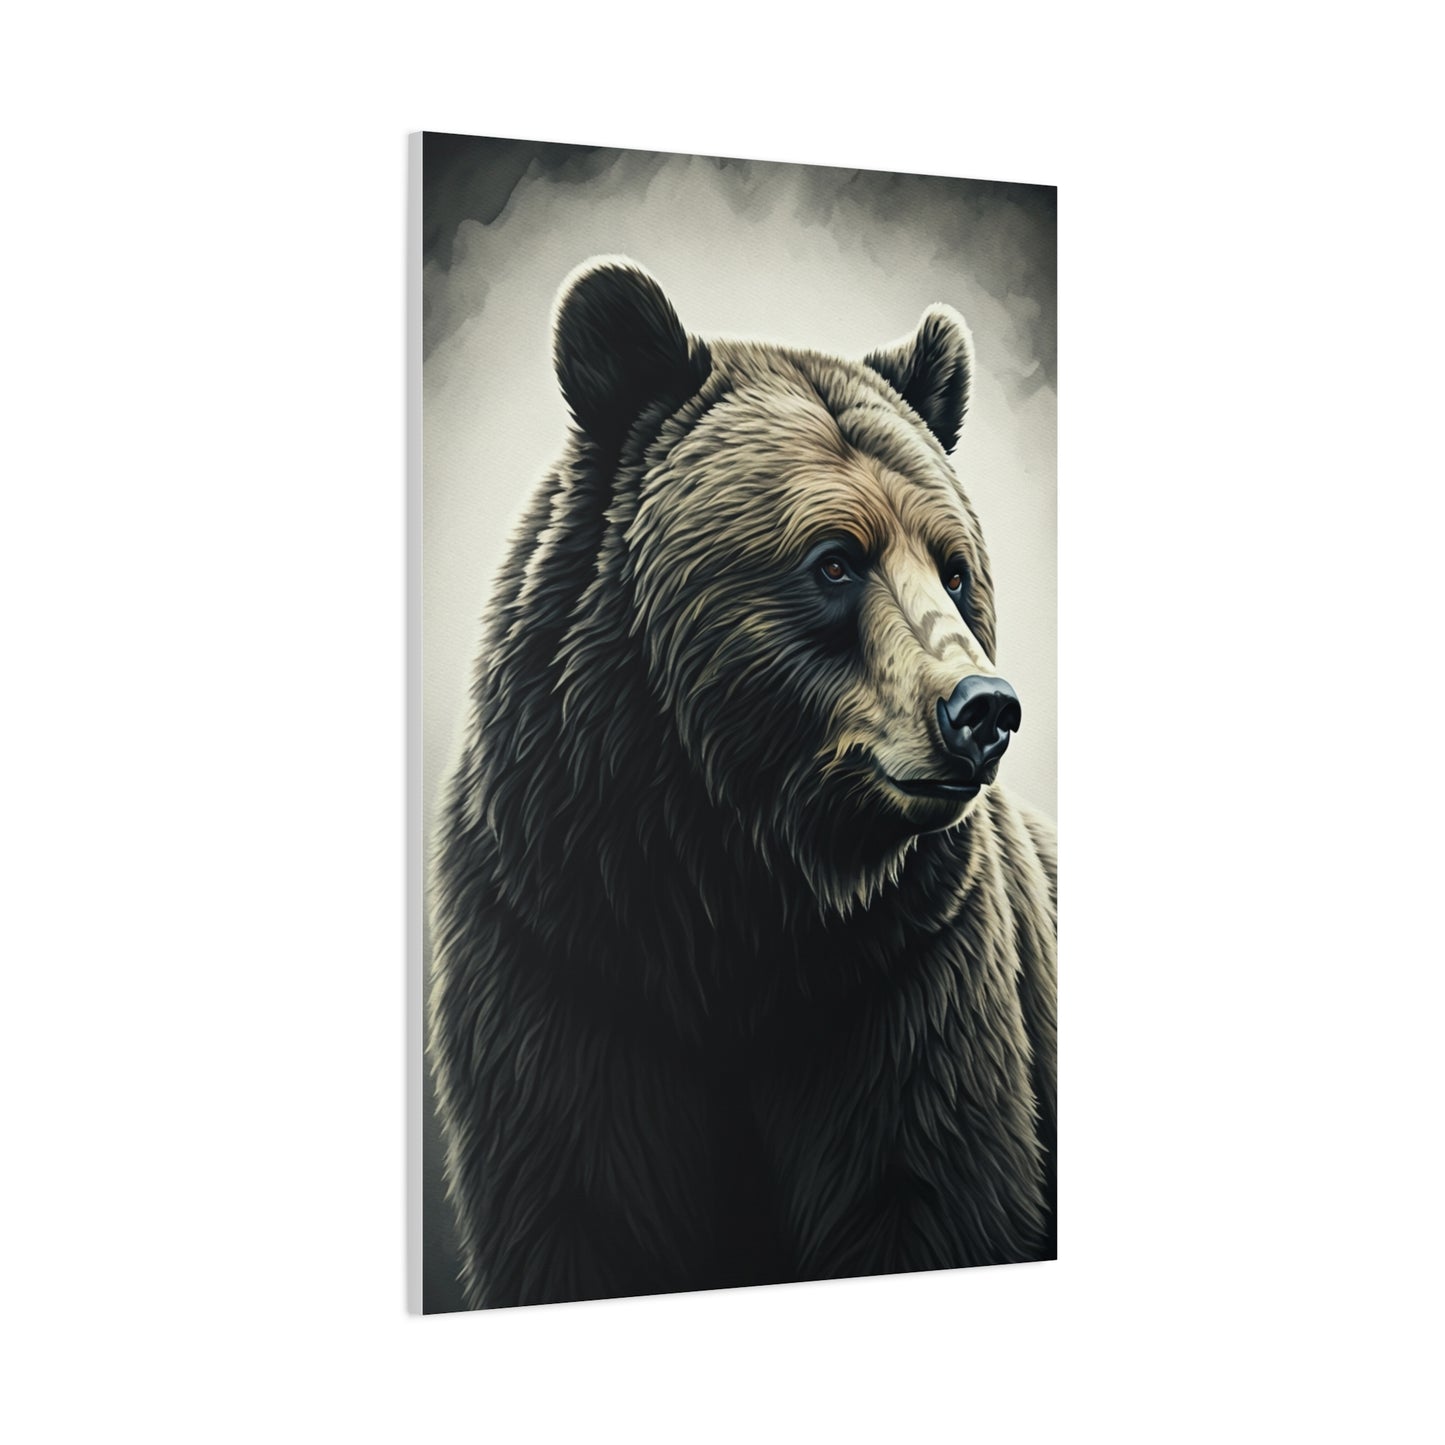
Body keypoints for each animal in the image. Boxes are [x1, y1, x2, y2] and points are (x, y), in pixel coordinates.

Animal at [428, 256, 1057, 1309]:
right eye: (834, 559)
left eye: (954, 567)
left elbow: (922, 1187)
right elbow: (583, 1208)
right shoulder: (560, 953)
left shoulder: (907, 978)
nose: (982, 709)